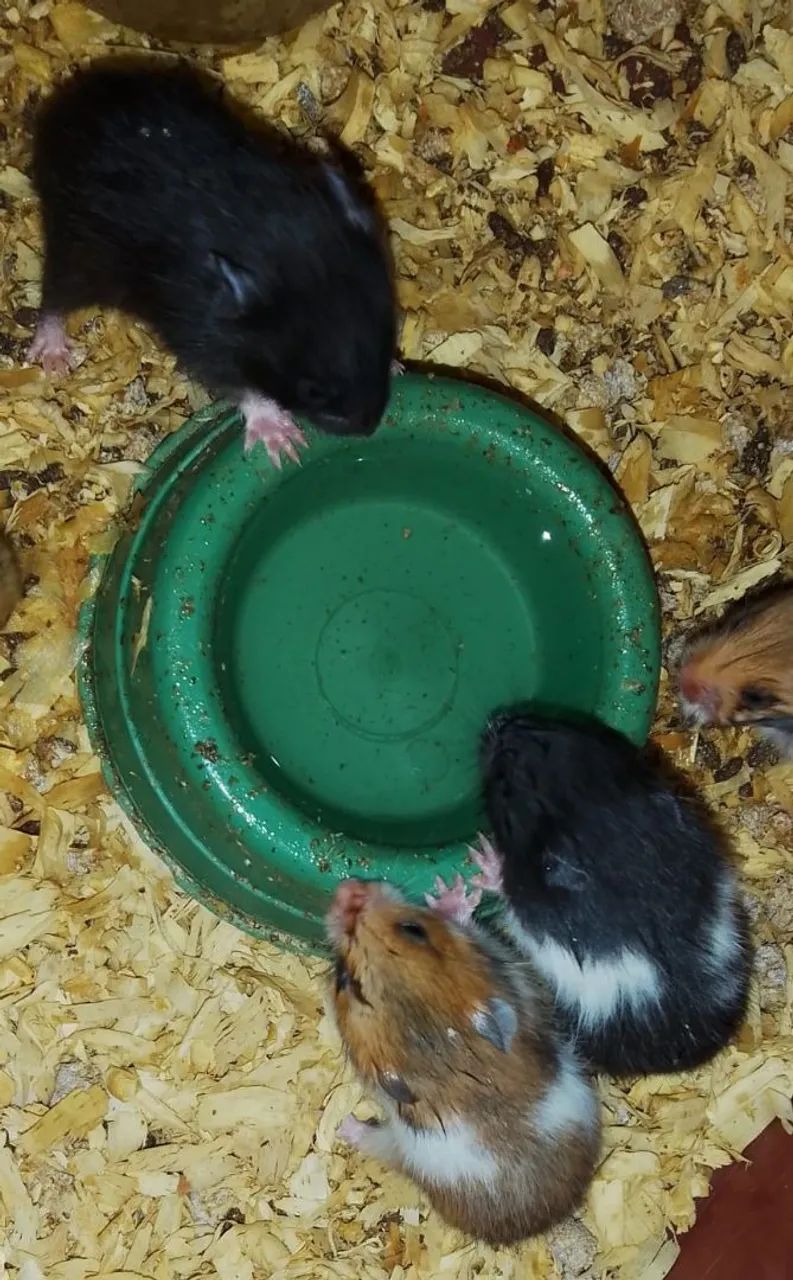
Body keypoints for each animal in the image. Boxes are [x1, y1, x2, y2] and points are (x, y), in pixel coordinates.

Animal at [27, 59, 397, 467]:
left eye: (387, 339)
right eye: (311, 390)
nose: (368, 430)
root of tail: (59, 114)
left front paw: (398, 364)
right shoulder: (197, 333)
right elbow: (239, 386)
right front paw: (283, 442)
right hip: (82, 248)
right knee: (54, 296)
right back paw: (54, 357)